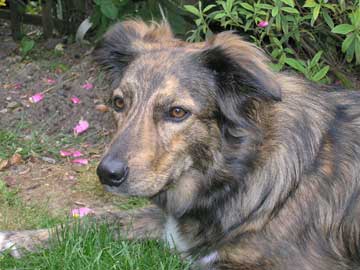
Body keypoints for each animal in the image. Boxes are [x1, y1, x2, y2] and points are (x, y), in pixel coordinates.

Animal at [0, 20, 360, 268]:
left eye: (177, 112)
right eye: (119, 103)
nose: (107, 174)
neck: (240, 169)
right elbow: (99, 218)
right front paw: (20, 239)